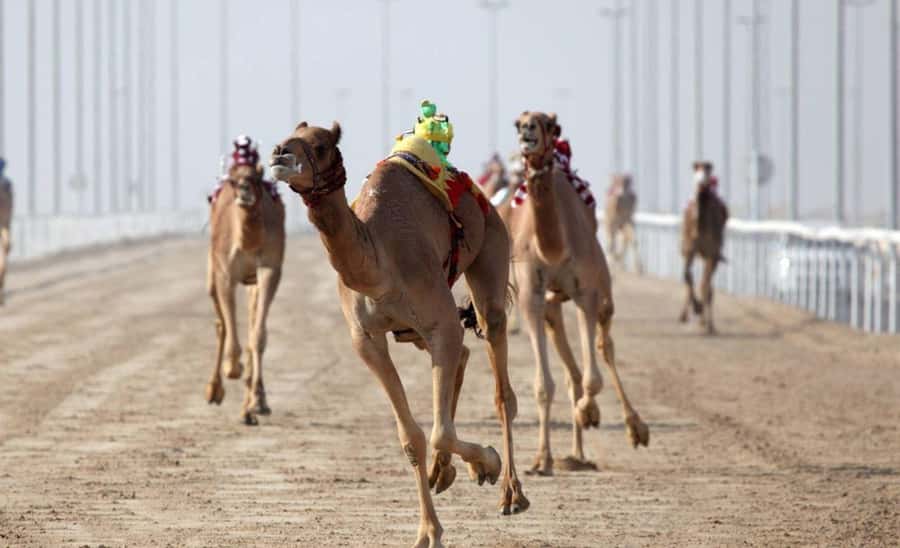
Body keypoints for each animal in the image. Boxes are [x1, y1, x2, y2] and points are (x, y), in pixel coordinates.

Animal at [205, 136, 286, 425]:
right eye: (232, 179)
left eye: (257, 175)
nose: (244, 190)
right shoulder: (224, 272)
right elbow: (229, 327)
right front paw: (232, 367)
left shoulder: (270, 269)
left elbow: (257, 336)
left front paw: (257, 403)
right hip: (212, 272)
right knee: (220, 323)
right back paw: (214, 390)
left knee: (251, 325)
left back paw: (250, 407)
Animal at [270, 120, 528, 548]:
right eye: (287, 135)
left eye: (320, 145)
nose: (279, 155)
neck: (378, 264)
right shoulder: (366, 340)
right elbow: (412, 437)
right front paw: (428, 530)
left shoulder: (438, 319)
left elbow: (438, 432)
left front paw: (488, 462)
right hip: (414, 330)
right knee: (462, 356)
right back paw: (446, 471)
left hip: (491, 246)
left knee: (500, 383)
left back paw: (510, 492)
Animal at [500, 111, 648, 476]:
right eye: (518, 122)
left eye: (548, 124)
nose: (528, 132)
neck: (553, 246)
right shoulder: (531, 296)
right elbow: (544, 385)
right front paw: (541, 460)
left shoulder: (586, 293)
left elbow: (594, 377)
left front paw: (589, 412)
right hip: (552, 305)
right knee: (571, 368)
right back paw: (574, 454)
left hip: (603, 287)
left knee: (604, 346)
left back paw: (634, 428)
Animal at [680, 161, 728, 334]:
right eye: (695, 169)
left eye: (707, 170)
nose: (701, 183)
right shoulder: (689, 249)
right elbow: (687, 275)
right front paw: (696, 307)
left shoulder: (712, 254)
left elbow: (705, 285)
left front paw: (702, 316)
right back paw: (685, 315)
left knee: (708, 286)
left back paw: (708, 324)